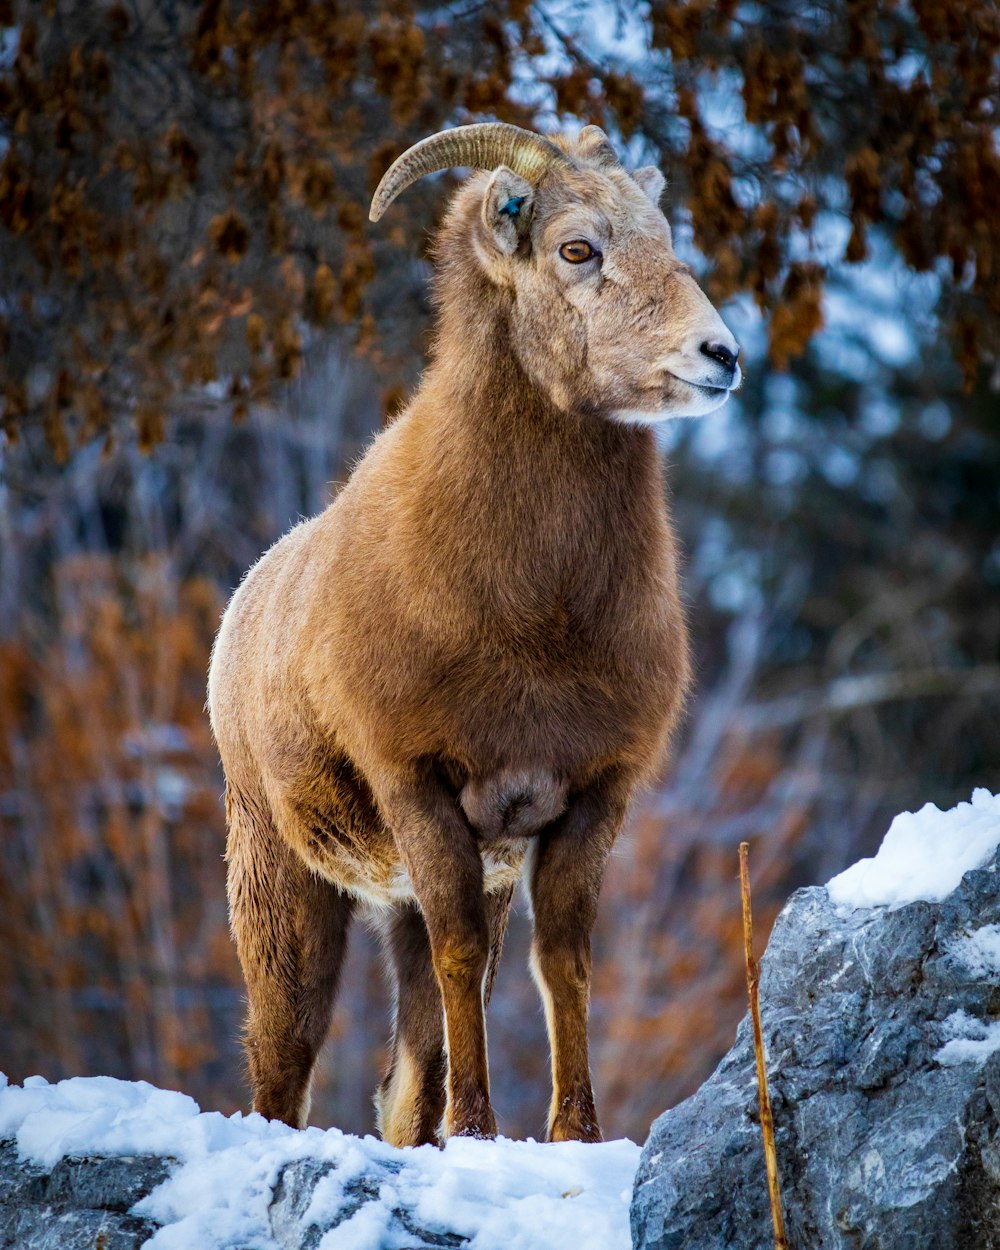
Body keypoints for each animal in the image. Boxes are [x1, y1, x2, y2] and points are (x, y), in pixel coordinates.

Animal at [208, 121, 740, 1145]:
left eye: (665, 237)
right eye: (577, 249)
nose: (721, 356)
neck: (538, 618)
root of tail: (238, 617)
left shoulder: (589, 797)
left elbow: (561, 964)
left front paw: (575, 1134)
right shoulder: (420, 789)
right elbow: (463, 963)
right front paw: (480, 1130)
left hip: (398, 898)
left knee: (402, 1075)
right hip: (284, 881)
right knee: (284, 1054)